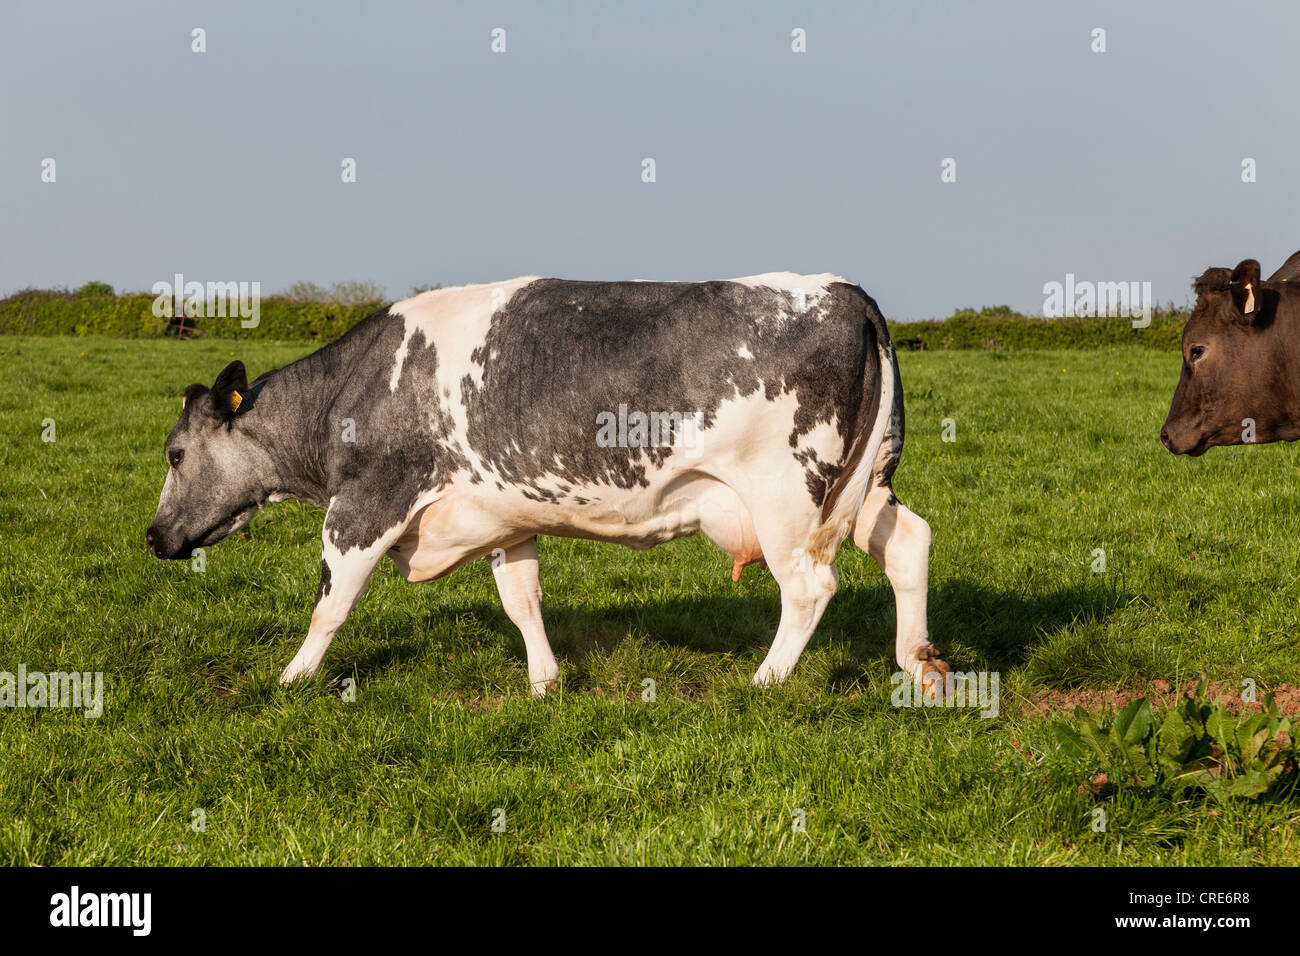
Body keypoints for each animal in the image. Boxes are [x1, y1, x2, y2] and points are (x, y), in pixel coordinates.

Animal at [147, 277, 951, 697]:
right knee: (908, 542)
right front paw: (544, 681)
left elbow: (331, 604)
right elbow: (523, 600)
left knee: (810, 586)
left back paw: (767, 679)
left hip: (786, 494)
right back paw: (920, 662)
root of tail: (843, 290)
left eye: (176, 452)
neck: (353, 390)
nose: (154, 536)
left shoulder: (365, 504)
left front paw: (292, 680)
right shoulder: (504, 515)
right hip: (864, 483)